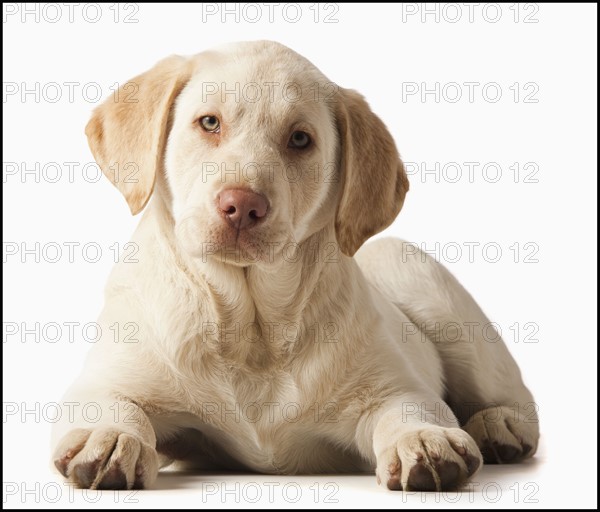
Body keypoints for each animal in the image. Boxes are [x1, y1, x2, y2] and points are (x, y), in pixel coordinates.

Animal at [50, 41, 540, 492]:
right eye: (209, 123)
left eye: (300, 139)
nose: (242, 205)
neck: (252, 330)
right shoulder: (106, 379)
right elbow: (112, 404)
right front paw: (111, 436)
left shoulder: (398, 386)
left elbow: (408, 407)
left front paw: (421, 439)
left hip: (417, 277)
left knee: (507, 393)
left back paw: (499, 425)